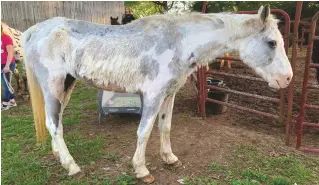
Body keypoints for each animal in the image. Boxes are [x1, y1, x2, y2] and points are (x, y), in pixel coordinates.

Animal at [22, 5, 292, 183]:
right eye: (271, 43)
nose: (287, 79)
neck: (179, 42)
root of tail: (34, 31)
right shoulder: (153, 95)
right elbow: (144, 131)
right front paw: (141, 170)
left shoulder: (169, 94)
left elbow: (165, 127)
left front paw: (169, 158)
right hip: (54, 86)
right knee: (54, 124)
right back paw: (71, 166)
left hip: (66, 85)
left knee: (55, 122)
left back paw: (59, 156)